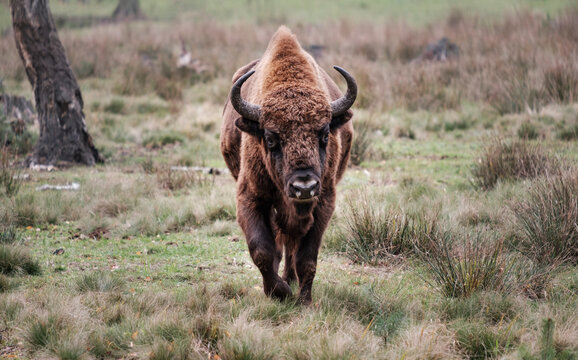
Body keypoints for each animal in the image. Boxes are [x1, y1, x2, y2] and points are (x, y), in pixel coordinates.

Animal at [220, 25, 356, 304]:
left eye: (325, 134)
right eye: (271, 138)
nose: (304, 187)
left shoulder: (324, 202)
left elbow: (307, 258)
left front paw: (303, 299)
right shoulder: (250, 198)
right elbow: (262, 250)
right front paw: (279, 292)